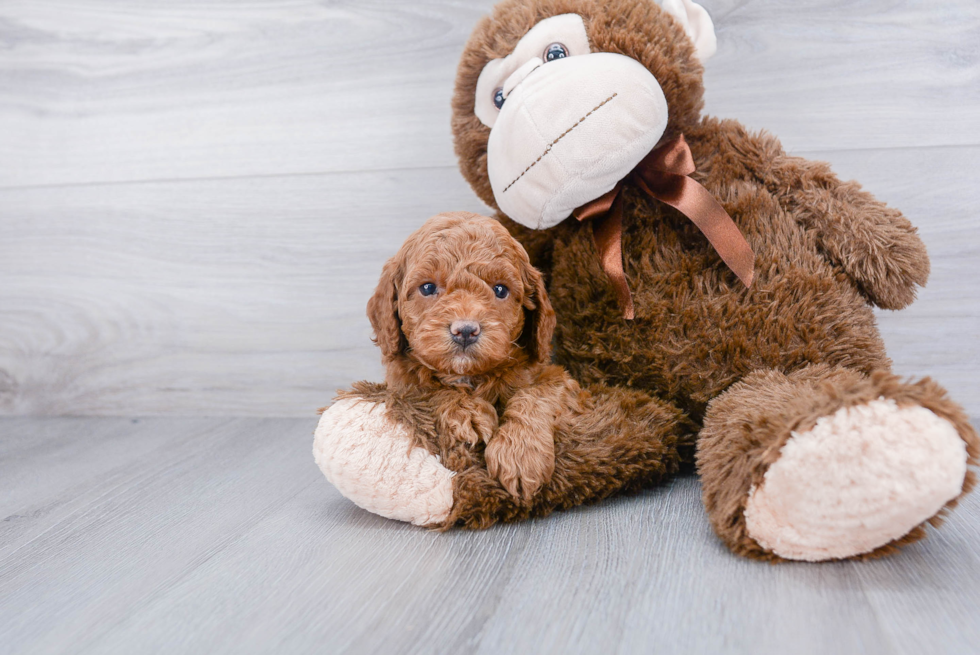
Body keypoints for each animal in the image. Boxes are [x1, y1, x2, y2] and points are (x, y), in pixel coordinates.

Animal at [364, 213, 584, 500]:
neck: (469, 376)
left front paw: (520, 453)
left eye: (500, 290)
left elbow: (538, 393)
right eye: (427, 287)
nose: (466, 331)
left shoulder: (557, 378)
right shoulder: (401, 385)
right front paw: (467, 412)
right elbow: (428, 388)